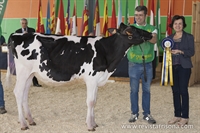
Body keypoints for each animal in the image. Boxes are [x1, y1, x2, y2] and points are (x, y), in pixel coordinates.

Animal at [9, 22, 152, 131]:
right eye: (130, 31)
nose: (150, 34)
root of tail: (18, 35)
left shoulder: (97, 79)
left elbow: (95, 101)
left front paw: (94, 123)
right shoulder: (91, 78)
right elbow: (90, 101)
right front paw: (90, 126)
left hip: (30, 74)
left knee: (25, 94)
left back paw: (31, 120)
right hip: (23, 71)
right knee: (18, 92)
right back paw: (23, 124)